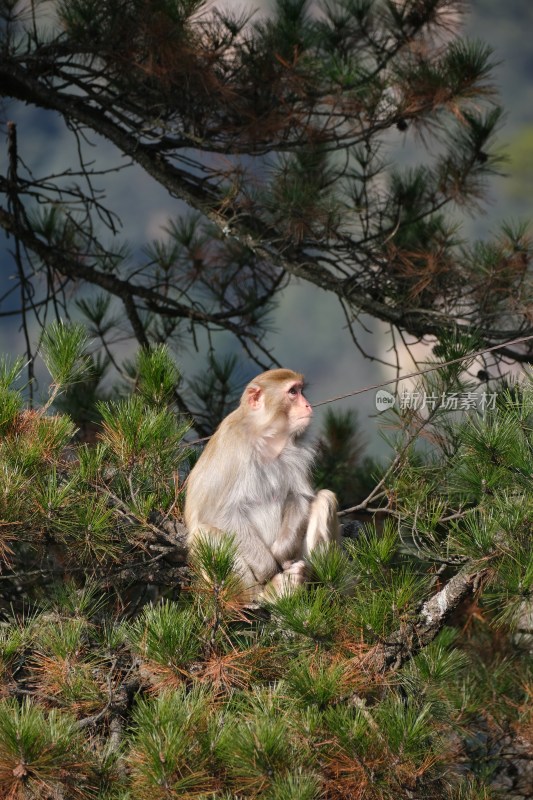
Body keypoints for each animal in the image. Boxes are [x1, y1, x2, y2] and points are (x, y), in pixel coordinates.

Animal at [185, 368, 338, 600]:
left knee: (325, 499)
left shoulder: (297, 451)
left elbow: (298, 496)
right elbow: (217, 513)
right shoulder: (234, 448)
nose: (307, 405)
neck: (265, 438)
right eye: (292, 392)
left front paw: (281, 553)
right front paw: (269, 567)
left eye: (301, 390)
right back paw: (264, 595)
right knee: (205, 533)